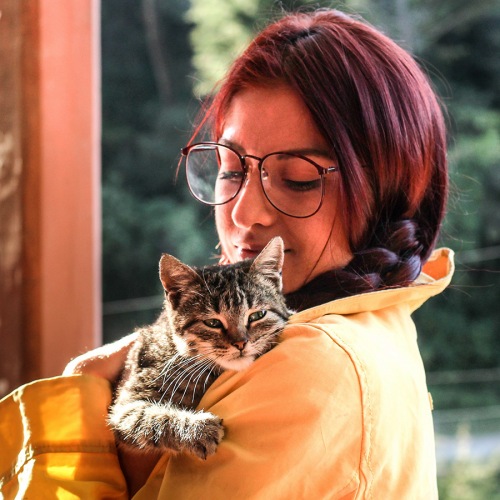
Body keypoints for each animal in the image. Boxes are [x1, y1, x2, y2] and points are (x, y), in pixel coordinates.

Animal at [107, 236, 292, 458]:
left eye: (257, 315)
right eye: (212, 323)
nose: (241, 343)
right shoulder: (126, 406)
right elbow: (153, 418)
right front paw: (196, 430)